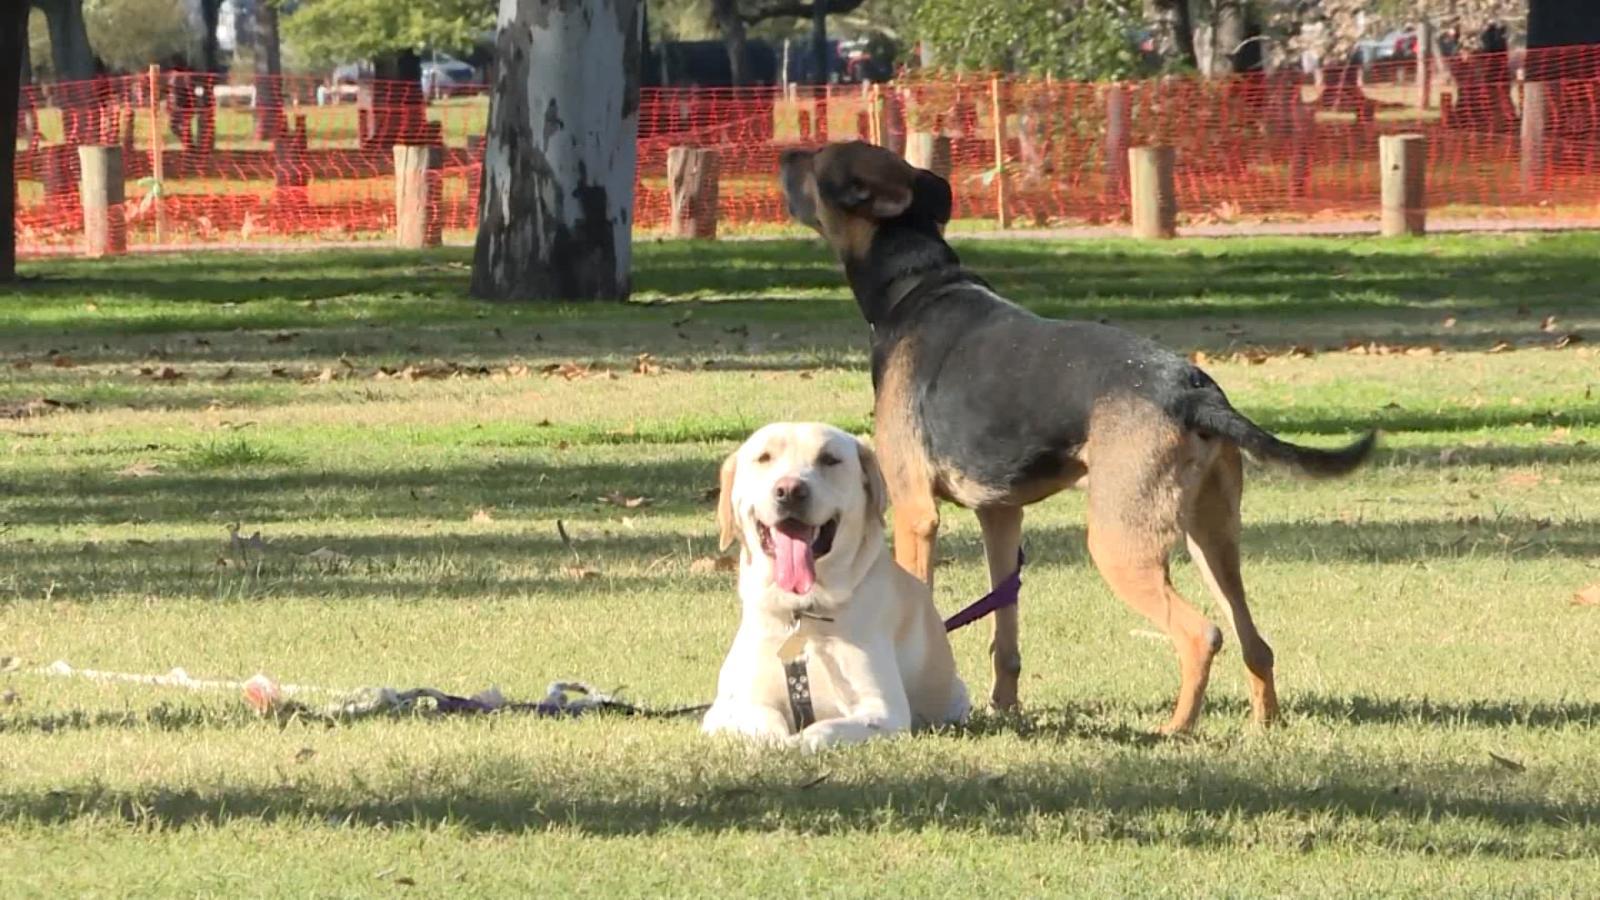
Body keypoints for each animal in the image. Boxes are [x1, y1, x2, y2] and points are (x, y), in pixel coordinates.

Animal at [707, 422, 966, 746]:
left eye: (829, 459)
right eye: (764, 457)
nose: (789, 490)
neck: (803, 611)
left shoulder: (883, 711)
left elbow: (824, 729)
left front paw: (800, 741)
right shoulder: (724, 709)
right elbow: (765, 719)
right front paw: (778, 739)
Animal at [777, 138, 1376, 730]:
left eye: (819, 160)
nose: (783, 154)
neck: (914, 284)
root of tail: (1194, 393)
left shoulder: (915, 511)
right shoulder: (1000, 517)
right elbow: (1005, 636)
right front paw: (1004, 708)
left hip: (1119, 544)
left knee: (1202, 633)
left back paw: (1175, 729)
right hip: (1213, 537)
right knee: (1256, 642)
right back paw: (1263, 725)